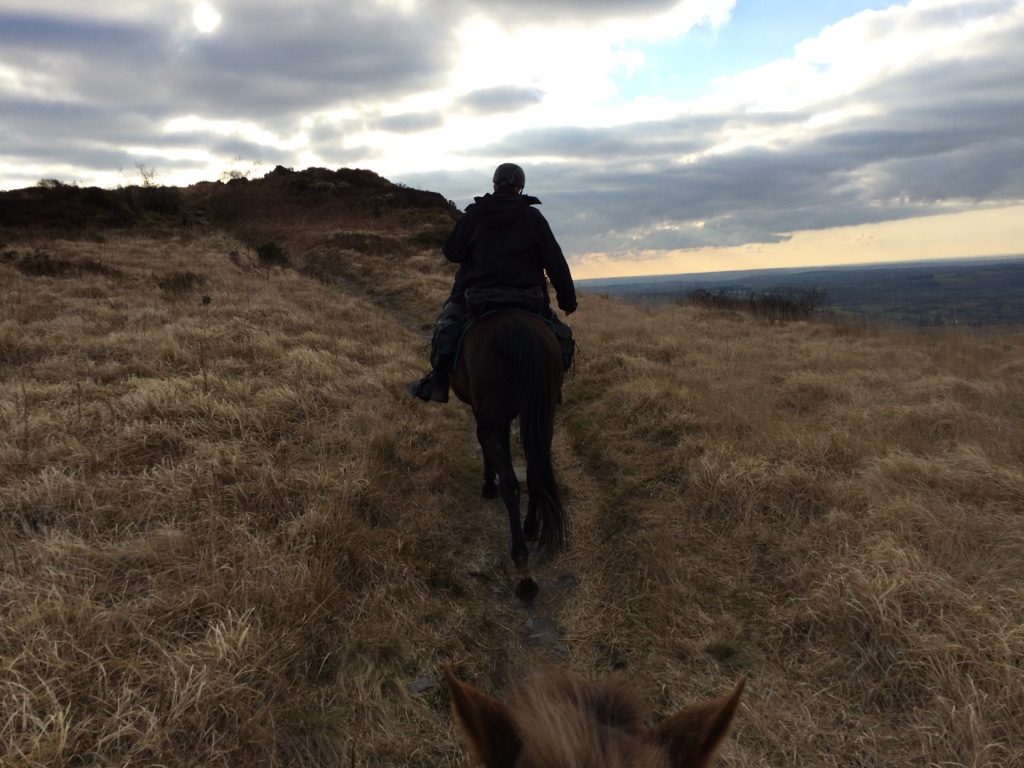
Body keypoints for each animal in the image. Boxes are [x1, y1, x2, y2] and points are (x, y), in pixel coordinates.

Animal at [452, 307, 569, 602]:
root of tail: (514, 325)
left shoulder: (488, 418)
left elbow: (486, 450)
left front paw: (488, 485)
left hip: (495, 416)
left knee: (512, 485)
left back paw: (523, 571)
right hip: (544, 414)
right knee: (535, 469)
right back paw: (530, 527)